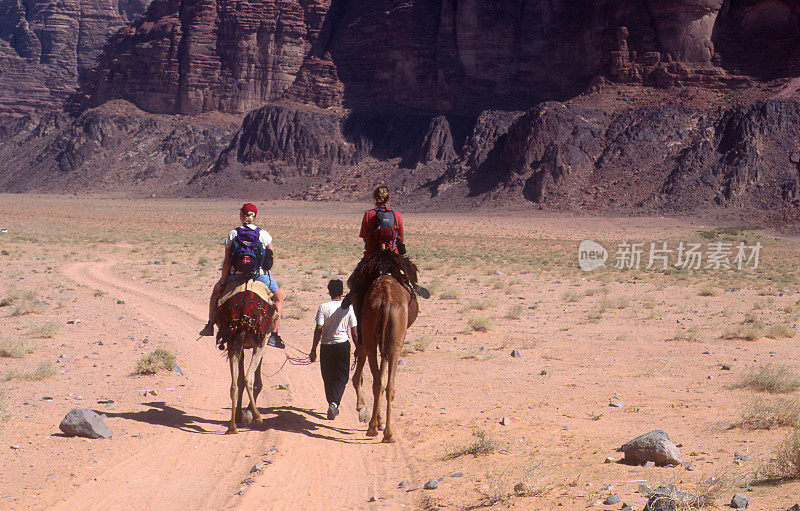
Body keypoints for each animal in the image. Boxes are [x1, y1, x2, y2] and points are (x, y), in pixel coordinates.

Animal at [354, 272, 422, 444]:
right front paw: (379, 422)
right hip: (392, 340)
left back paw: (377, 429)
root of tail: (385, 300)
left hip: (374, 336)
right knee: (387, 383)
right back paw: (384, 432)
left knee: (379, 383)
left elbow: (381, 379)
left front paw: (378, 421)